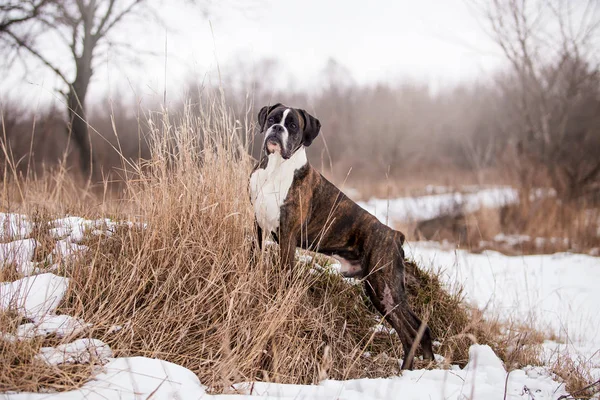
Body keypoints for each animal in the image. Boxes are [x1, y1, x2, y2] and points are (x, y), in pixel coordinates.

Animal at [250, 104, 436, 372]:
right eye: (272, 119)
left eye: (293, 125)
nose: (276, 128)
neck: (275, 169)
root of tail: (394, 234)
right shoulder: (258, 226)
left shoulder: (287, 236)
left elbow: (284, 275)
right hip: (382, 291)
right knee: (420, 327)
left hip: (383, 286)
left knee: (410, 332)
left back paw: (406, 372)